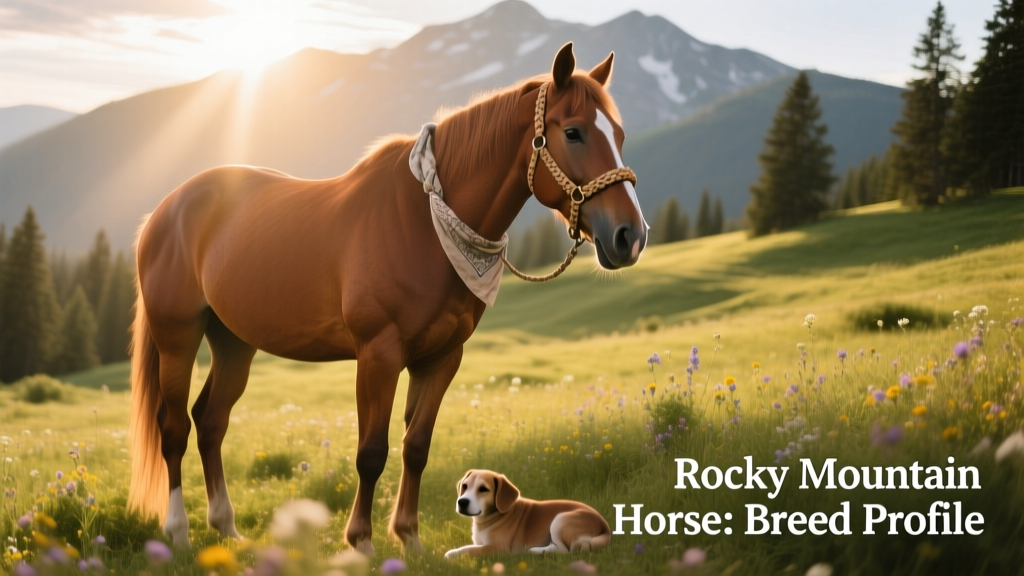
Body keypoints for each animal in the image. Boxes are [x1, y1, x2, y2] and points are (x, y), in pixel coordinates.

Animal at [128, 42, 647, 555]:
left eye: (619, 134)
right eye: (574, 132)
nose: (630, 236)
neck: (424, 224)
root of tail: (165, 210)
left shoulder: (441, 357)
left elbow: (416, 446)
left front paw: (409, 538)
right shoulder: (378, 353)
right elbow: (371, 452)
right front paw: (361, 541)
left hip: (234, 342)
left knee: (211, 420)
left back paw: (226, 527)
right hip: (178, 337)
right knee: (174, 428)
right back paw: (178, 532)